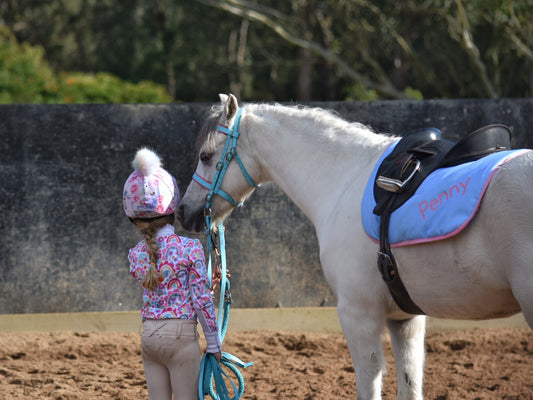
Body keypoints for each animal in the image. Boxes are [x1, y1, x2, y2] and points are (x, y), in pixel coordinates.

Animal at [180, 94, 532, 400]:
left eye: (206, 156)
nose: (185, 212)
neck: (344, 179)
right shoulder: (406, 320)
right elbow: (410, 382)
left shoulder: (357, 314)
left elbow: (369, 382)